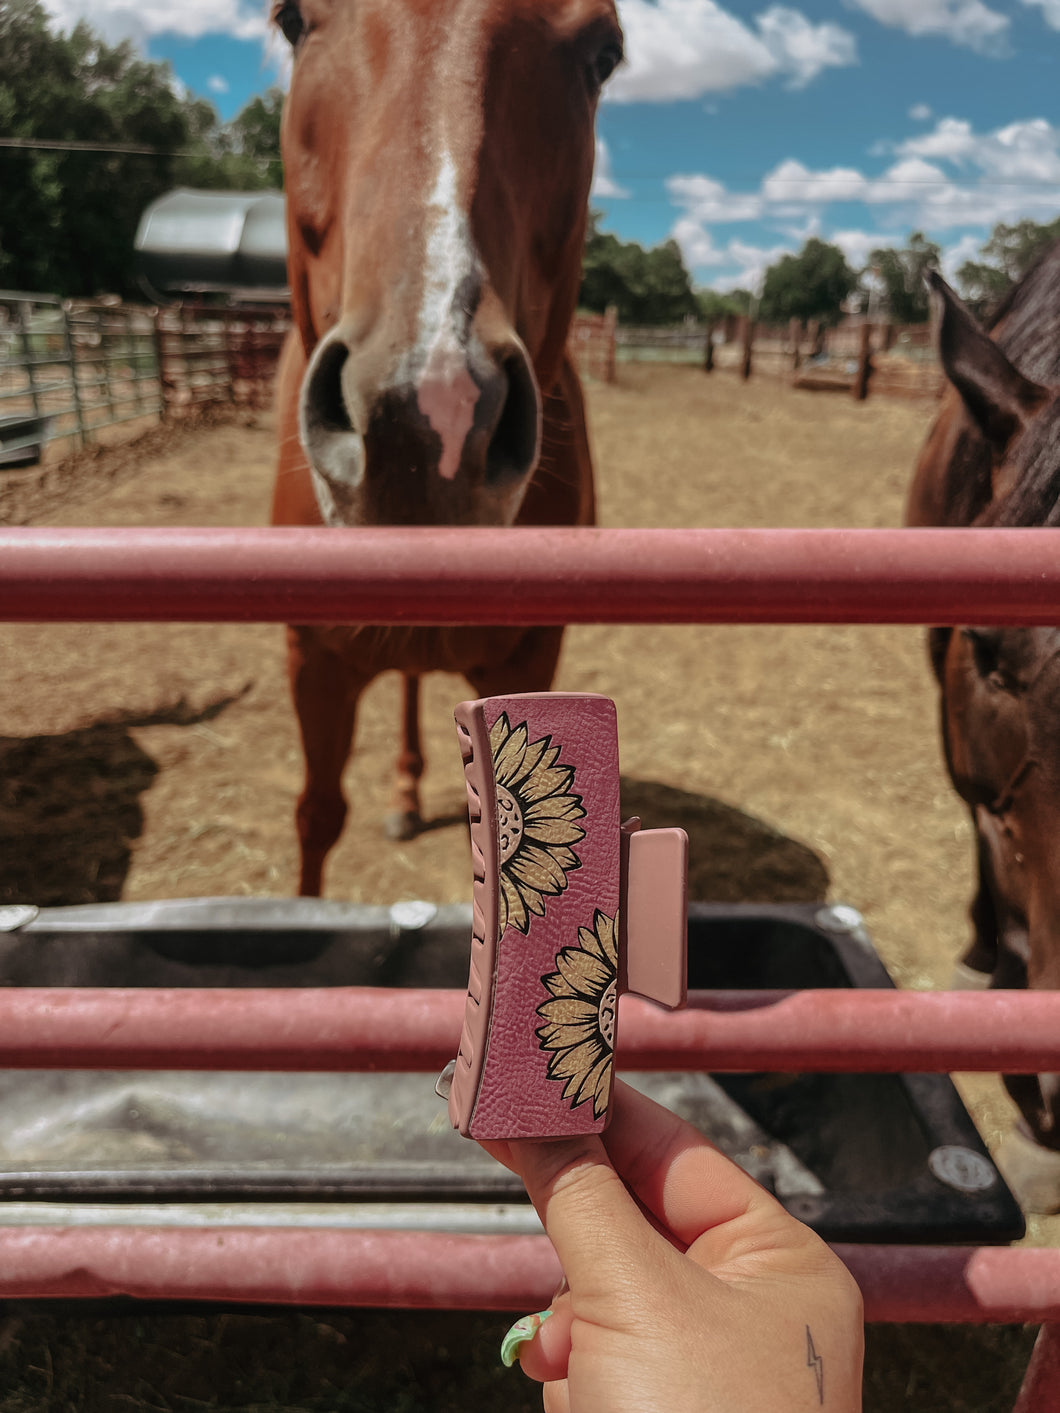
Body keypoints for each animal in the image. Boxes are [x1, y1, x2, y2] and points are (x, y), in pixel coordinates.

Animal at [269, 0, 627, 893]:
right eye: (292, 21)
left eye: (602, 53)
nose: (426, 416)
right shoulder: (312, 660)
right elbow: (316, 815)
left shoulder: (531, 658)